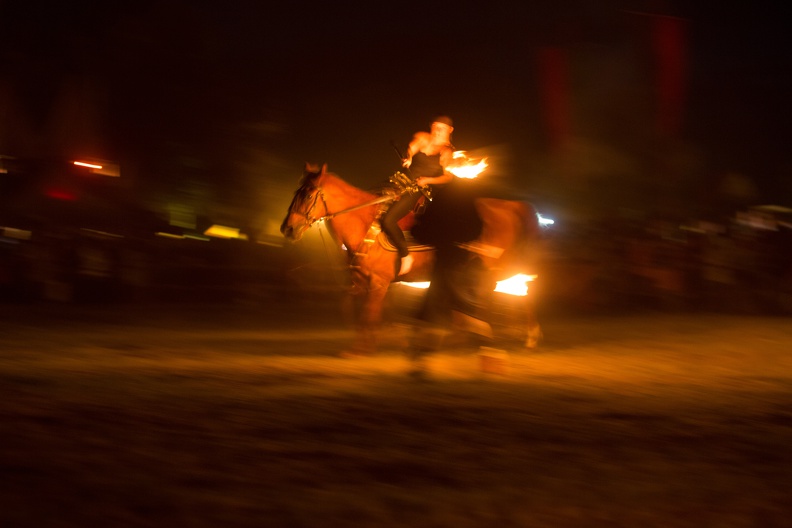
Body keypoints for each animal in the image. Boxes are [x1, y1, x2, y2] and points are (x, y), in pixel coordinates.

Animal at [280, 163, 544, 356]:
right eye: (296, 192)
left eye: (309, 194)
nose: (288, 229)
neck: (366, 222)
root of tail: (508, 206)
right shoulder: (366, 282)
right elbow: (369, 312)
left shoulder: (379, 282)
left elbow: (369, 314)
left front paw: (362, 349)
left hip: (495, 267)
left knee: (518, 294)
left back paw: (523, 337)